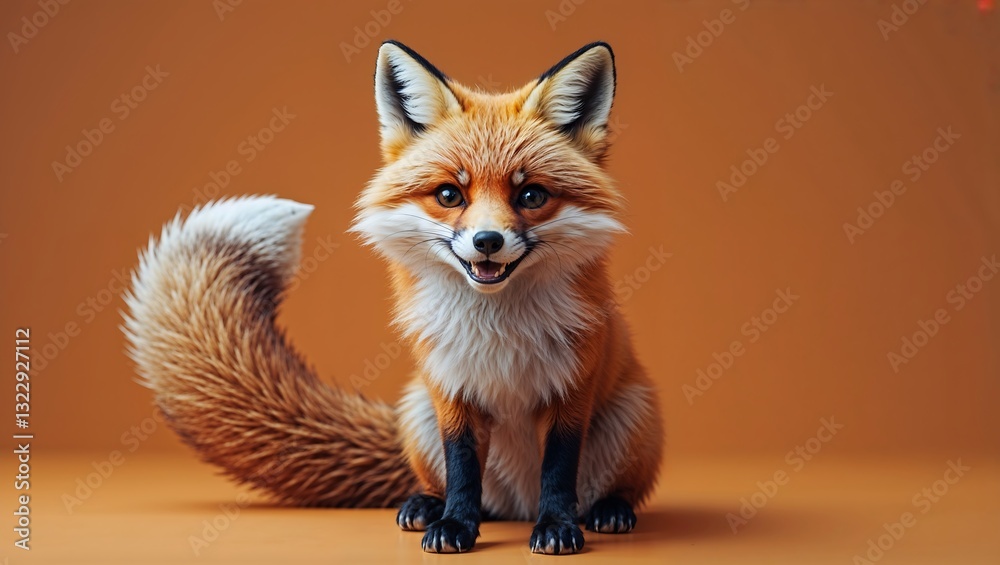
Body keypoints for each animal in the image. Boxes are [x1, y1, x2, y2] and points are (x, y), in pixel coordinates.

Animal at [123, 40, 663, 555]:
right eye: (449, 195)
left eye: (530, 196)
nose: (487, 241)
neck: (497, 330)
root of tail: (516, 505)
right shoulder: (450, 389)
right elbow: (462, 470)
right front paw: (455, 527)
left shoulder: (572, 390)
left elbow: (559, 472)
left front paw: (556, 529)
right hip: (418, 410)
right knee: (459, 489)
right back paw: (427, 505)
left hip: (630, 416)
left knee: (611, 490)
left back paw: (608, 511)